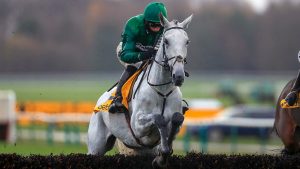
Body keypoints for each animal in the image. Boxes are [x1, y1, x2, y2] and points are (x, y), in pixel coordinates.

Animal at [88, 13, 193, 167]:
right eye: (166, 41)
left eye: (187, 42)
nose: (178, 75)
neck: (162, 90)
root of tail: (100, 101)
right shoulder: (137, 126)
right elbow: (158, 118)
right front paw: (162, 155)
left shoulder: (175, 122)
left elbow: (176, 119)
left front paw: (163, 155)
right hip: (96, 146)